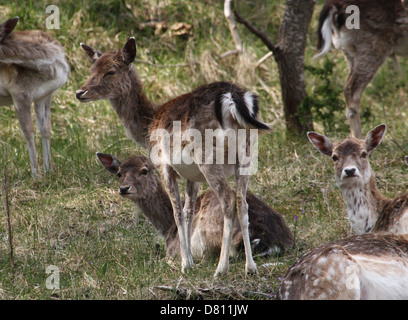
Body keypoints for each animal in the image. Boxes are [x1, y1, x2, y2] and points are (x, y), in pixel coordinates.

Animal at [0, 16, 68, 178]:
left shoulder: (44, 95)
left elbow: (45, 128)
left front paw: (49, 171)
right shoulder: (19, 93)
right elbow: (28, 131)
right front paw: (36, 175)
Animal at [75, 37, 270, 276]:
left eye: (110, 71)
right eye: (92, 69)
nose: (80, 92)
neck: (148, 126)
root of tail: (233, 98)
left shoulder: (163, 164)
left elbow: (177, 210)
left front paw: (185, 264)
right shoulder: (192, 175)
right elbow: (188, 211)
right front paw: (189, 259)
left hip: (208, 157)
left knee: (228, 199)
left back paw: (220, 268)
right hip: (247, 153)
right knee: (242, 201)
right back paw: (250, 267)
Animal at [96, 154, 294, 262]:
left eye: (144, 171)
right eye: (119, 173)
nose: (124, 188)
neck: (168, 227)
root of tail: (274, 242)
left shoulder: (173, 249)